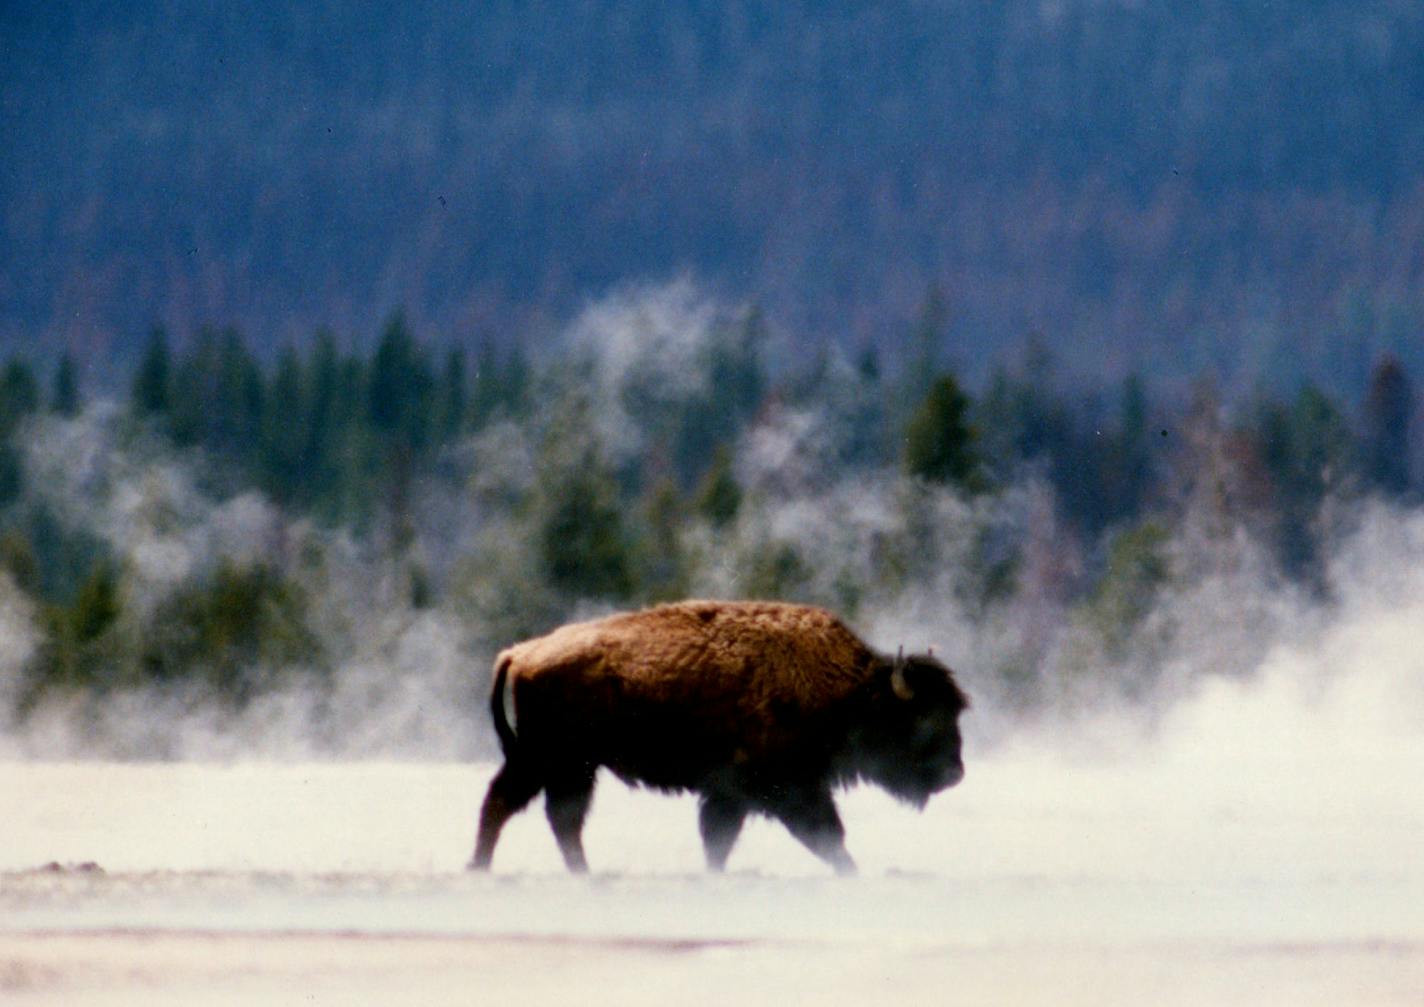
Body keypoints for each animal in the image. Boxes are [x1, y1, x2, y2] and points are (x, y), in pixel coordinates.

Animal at [467, 598, 968, 871]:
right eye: (924, 719)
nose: (955, 773)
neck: (850, 691)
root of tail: (522, 652)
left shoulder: (730, 793)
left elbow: (718, 840)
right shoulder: (790, 789)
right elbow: (827, 835)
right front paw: (851, 871)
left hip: (565, 767)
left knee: (552, 815)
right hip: (554, 761)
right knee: (512, 805)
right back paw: (484, 867)